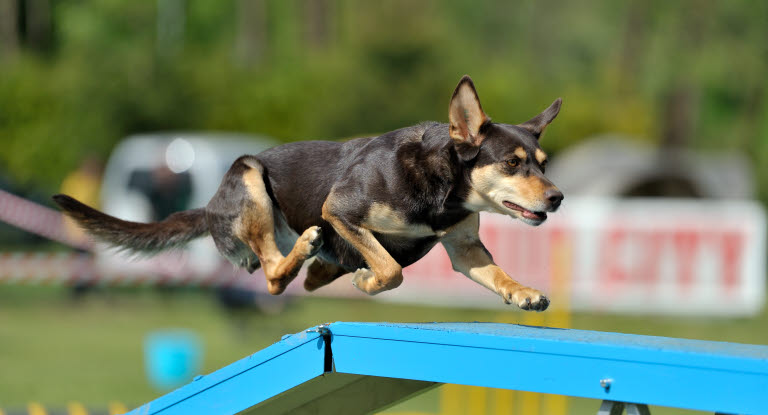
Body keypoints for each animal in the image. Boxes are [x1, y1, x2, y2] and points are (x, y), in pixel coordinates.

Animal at [51, 75, 560, 310]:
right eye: (512, 163)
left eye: (543, 163)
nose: (556, 198)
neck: (442, 191)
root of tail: (209, 205)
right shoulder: (342, 211)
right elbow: (391, 268)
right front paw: (369, 281)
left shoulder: (464, 246)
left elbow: (497, 274)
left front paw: (524, 293)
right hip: (250, 177)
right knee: (274, 276)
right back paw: (306, 251)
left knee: (295, 276)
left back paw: (318, 268)